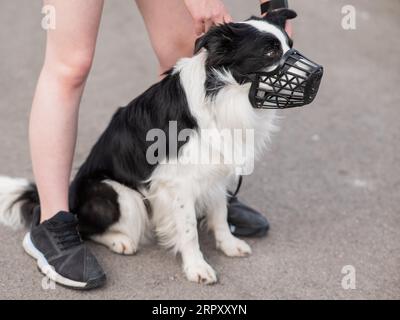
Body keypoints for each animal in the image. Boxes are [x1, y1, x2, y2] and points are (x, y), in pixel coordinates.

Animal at [0, 10, 318, 284]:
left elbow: (219, 212)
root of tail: (68, 195)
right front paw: (197, 267)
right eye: (270, 53)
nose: (317, 76)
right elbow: (188, 229)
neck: (223, 93)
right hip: (119, 194)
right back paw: (119, 240)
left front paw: (228, 244)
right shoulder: (178, 182)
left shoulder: (215, 169)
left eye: (289, 45)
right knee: (85, 226)